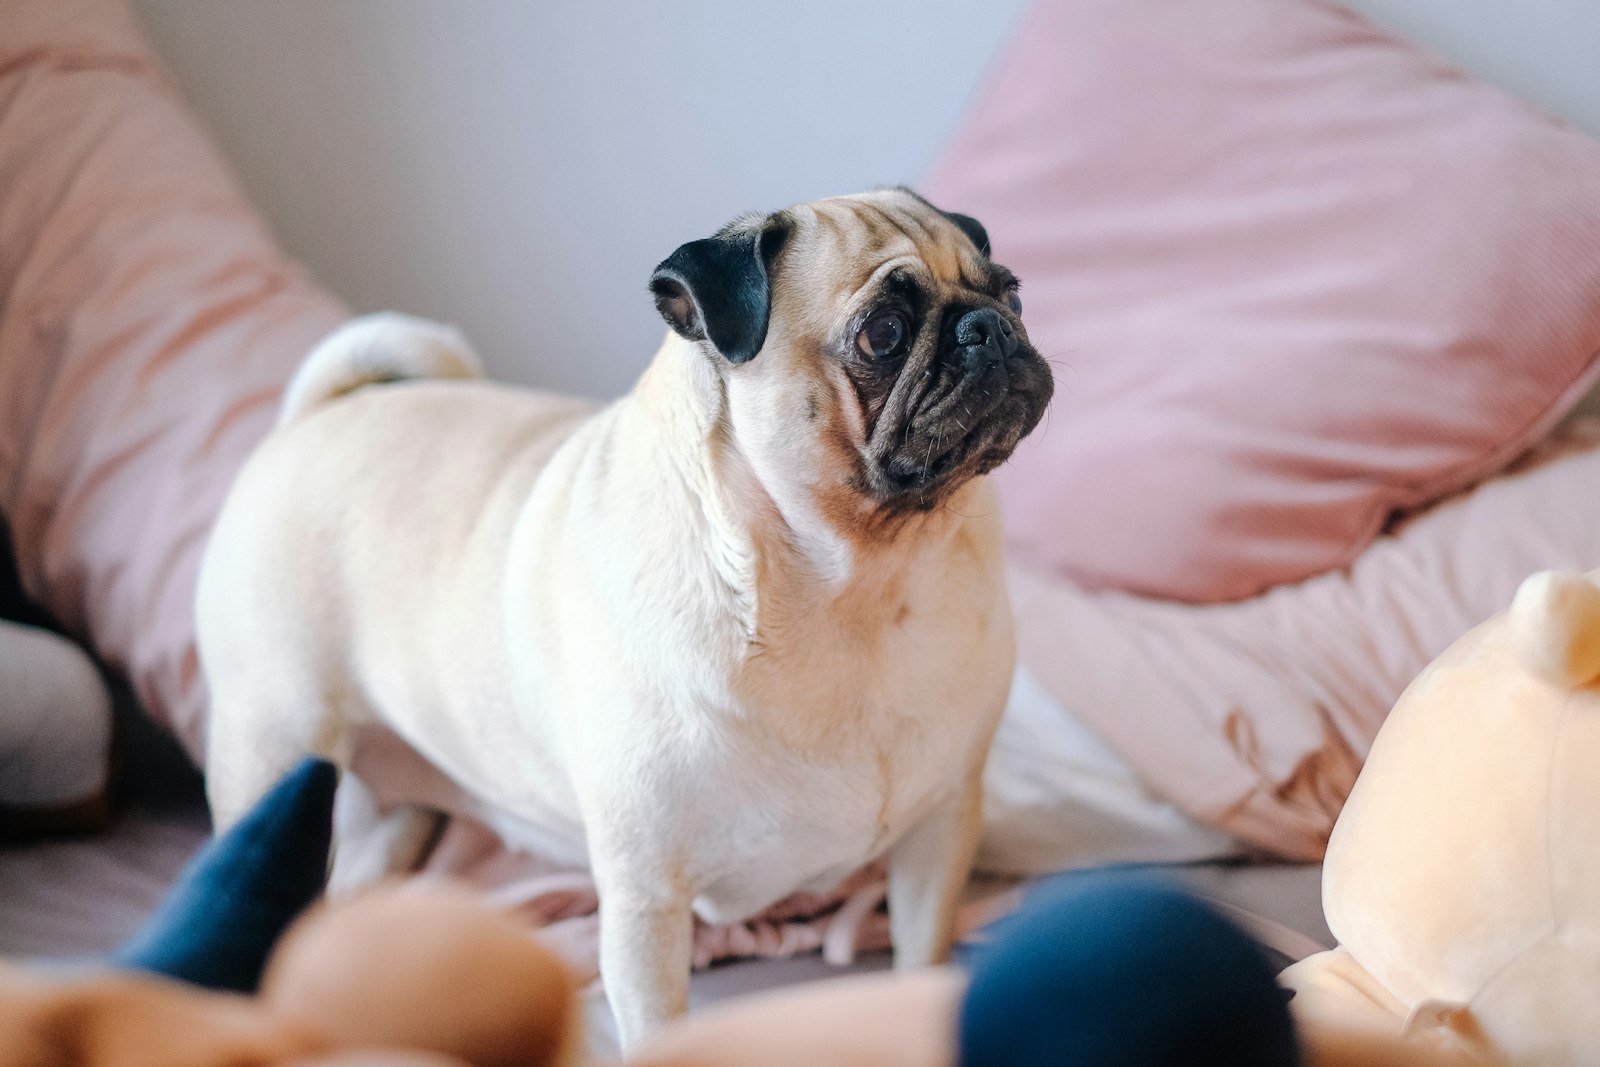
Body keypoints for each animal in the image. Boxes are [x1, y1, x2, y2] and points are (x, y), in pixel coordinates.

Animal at [196, 187, 1049, 1049]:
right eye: (883, 333)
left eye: (1013, 293)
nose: (991, 329)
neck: (856, 587)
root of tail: (314, 417)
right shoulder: (647, 900)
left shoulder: (939, 834)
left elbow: (921, 959)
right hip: (273, 753)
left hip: (389, 823)